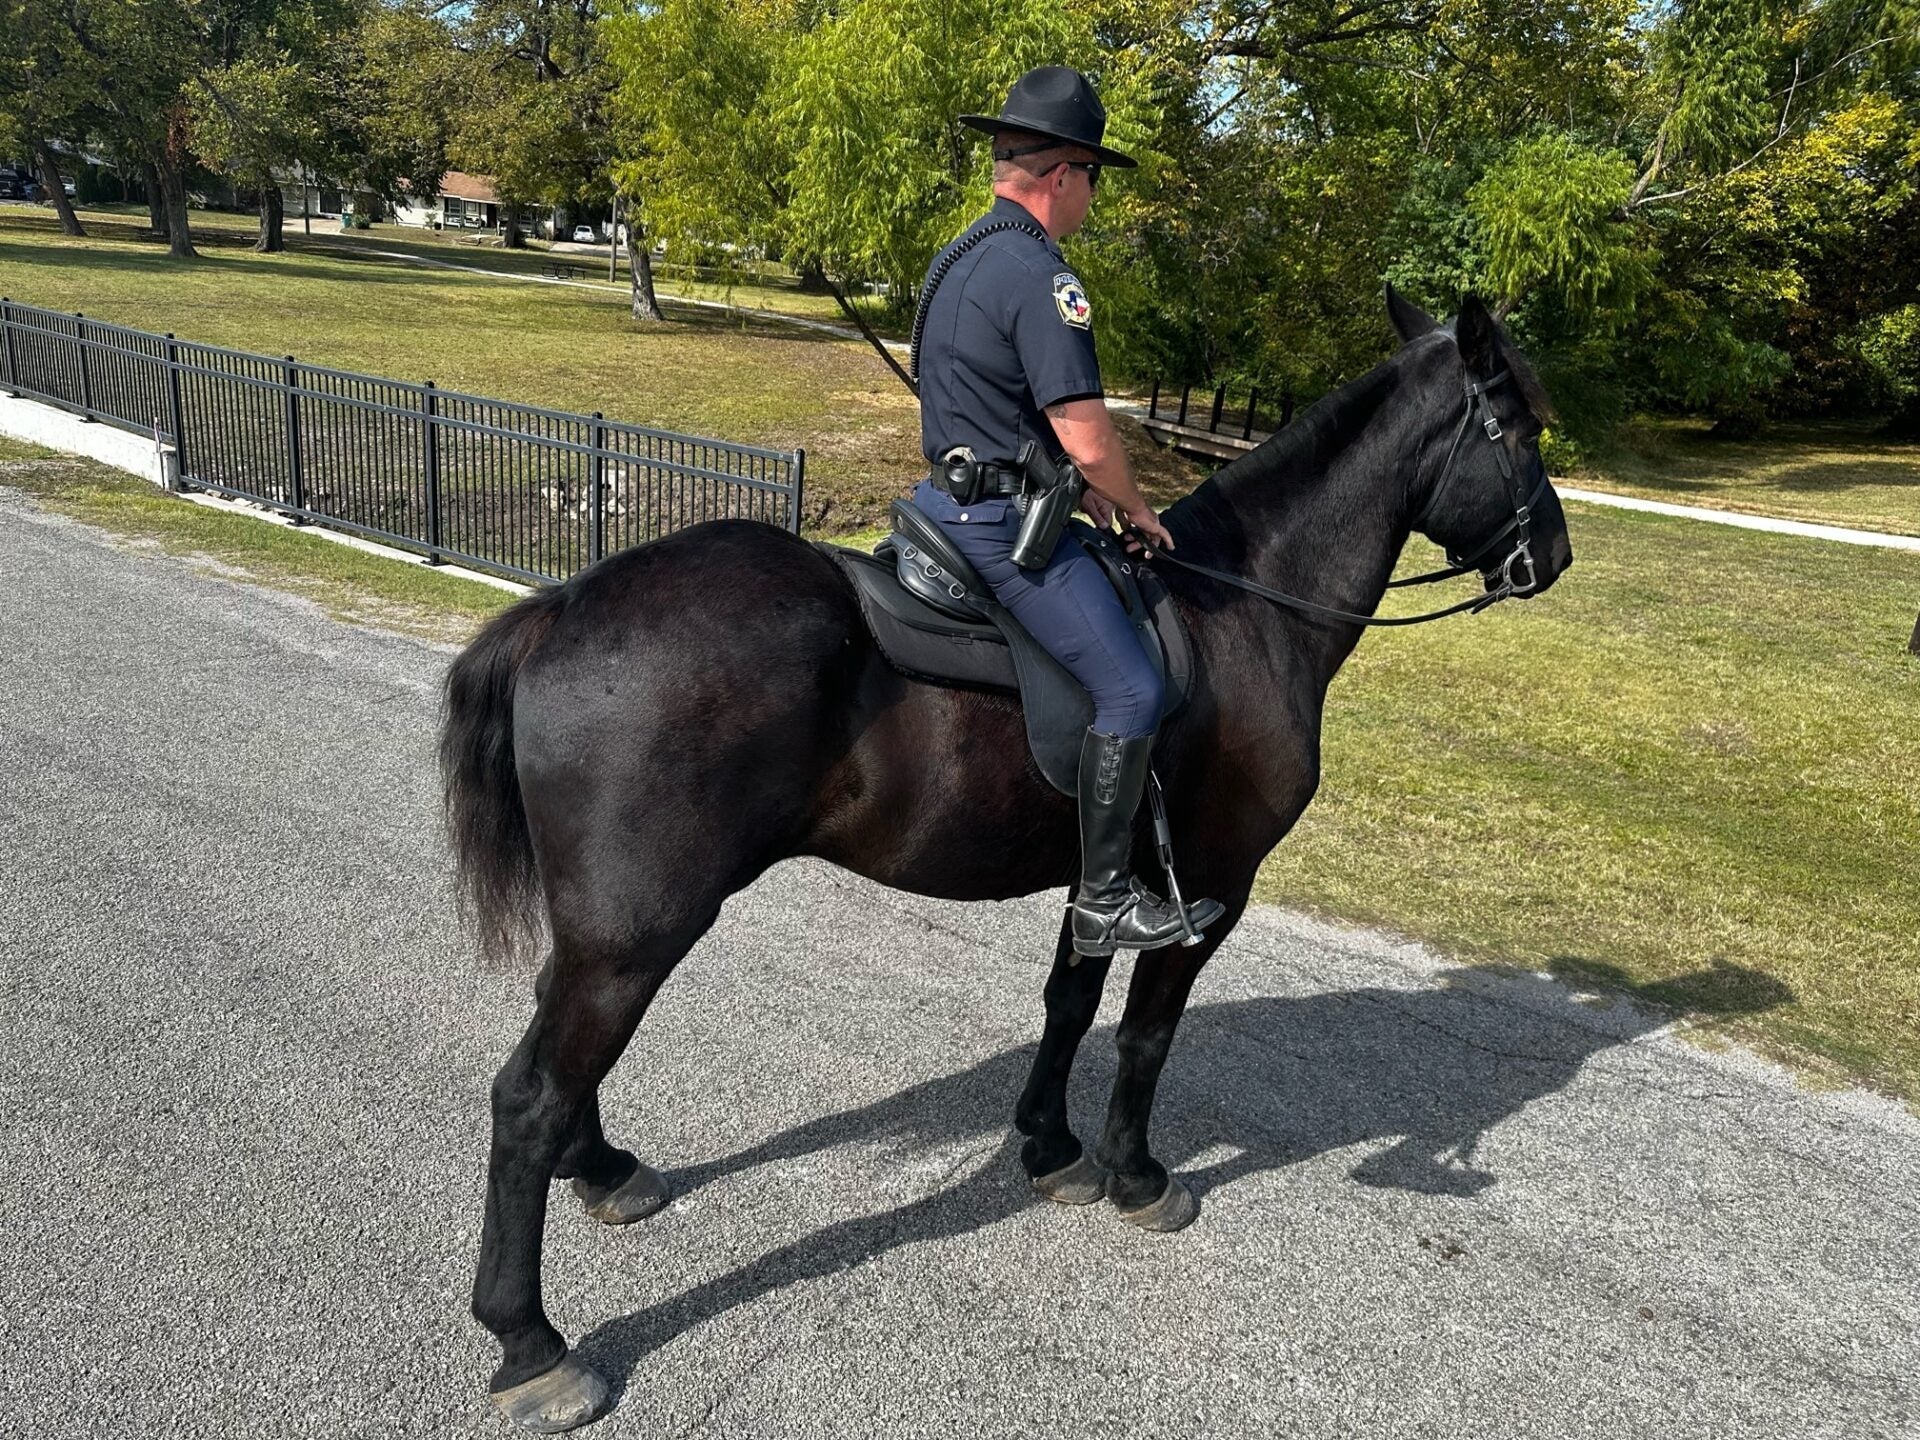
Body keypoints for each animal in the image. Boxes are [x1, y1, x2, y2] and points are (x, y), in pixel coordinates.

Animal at [445, 293, 1574, 1436]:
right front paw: (1134, 1174)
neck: (1250, 606)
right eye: (1522, 429)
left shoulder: (1103, 877)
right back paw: (530, 1341)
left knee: (562, 1051)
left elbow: (1070, 1006)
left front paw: (1050, 1148)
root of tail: (565, 609)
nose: (1556, 556)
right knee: (532, 1094)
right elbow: (1147, 1035)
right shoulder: (1214, 884)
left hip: (607, 928)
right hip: (640, 930)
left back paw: (604, 1172)